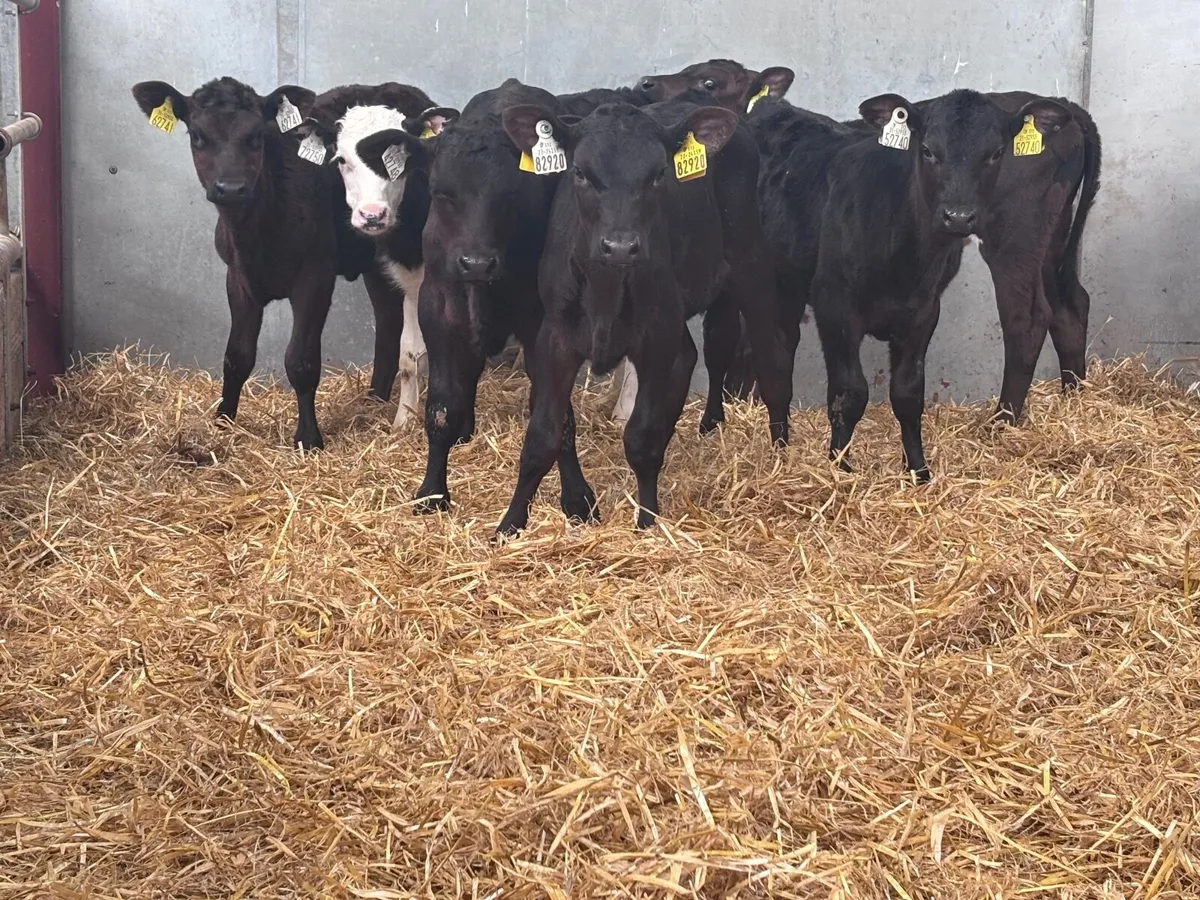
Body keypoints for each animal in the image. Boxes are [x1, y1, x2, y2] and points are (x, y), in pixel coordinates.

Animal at [131, 77, 375, 450]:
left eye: (257, 136)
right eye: (197, 135)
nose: (231, 188)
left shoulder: (316, 275)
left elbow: (301, 360)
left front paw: (308, 438)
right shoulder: (237, 277)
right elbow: (237, 355)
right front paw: (223, 420)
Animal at [297, 83, 445, 428]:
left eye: (401, 159)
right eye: (341, 160)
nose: (373, 215)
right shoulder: (409, 279)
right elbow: (410, 355)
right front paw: (405, 420)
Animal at [354, 79, 596, 520]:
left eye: (512, 193)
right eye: (441, 194)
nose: (477, 263)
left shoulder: (545, 326)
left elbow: (559, 414)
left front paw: (576, 496)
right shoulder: (439, 310)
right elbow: (441, 408)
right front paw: (432, 491)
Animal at [491, 97, 793, 535]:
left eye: (658, 175)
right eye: (580, 172)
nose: (620, 246)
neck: (604, 291)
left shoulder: (654, 338)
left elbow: (641, 437)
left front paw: (648, 520)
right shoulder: (554, 338)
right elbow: (542, 437)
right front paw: (510, 525)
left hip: (749, 261)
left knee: (771, 363)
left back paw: (781, 455)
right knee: (689, 355)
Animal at [810, 89, 1073, 478]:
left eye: (996, 153)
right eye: (928, 150)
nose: (959, 216)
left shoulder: (919, 311)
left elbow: (899, 393)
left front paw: (913, 470)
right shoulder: (836, 307)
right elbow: (851, 392)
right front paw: (841, 468)